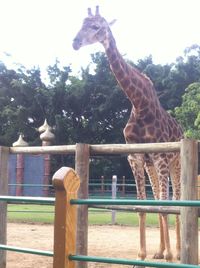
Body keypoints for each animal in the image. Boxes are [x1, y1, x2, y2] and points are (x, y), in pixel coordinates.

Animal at [72, 5, 184, 264]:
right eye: (81, 24)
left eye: (96, 26)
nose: (75, 42)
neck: (139, 103)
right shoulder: (136, 156)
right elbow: (142, 206)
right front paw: (143, 255)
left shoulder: (161, 157)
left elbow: (164, 206)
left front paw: (170, 256)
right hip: (152, 165)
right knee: (159, 199)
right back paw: (160, 251)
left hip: (176, 163)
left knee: (177, 201)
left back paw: (178, 252)